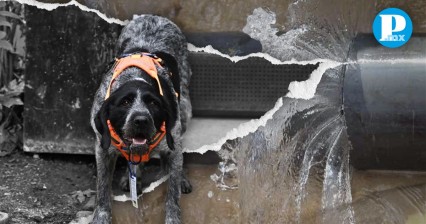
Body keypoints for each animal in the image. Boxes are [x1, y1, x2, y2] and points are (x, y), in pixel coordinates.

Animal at [90, 14, 192, 223]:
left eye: (153, 103)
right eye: (124, 102)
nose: (141, 120)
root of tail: (153, 16)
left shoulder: (173, 143)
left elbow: (173, 193)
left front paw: (173, 216)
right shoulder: (102, 149)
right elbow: (102, 189)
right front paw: (101, 216)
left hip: (185, 109)